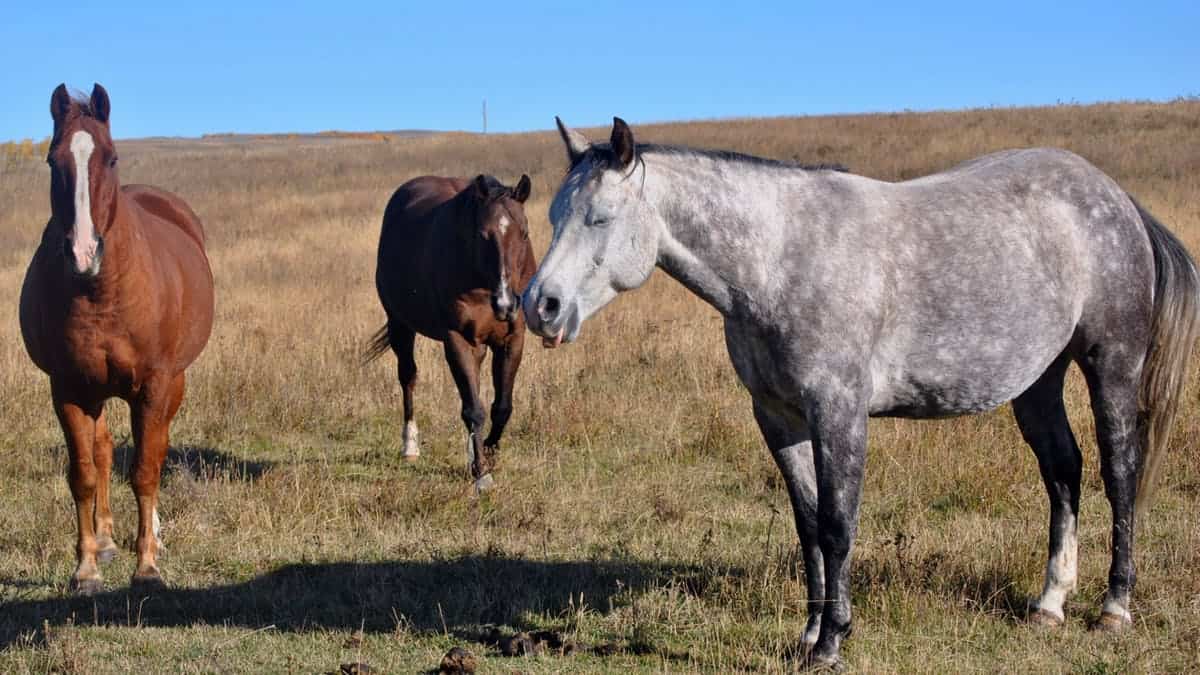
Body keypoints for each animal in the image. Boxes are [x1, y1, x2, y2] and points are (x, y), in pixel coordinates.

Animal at [18, 85, 213, 593]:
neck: (99, 292)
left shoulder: (155, 386)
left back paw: (153, 535)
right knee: (104, 451)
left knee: (156, 447)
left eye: (110, 158)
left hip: (171, 385)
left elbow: (145, 470)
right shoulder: (69, 389)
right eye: (53, 160)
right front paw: (86, 567)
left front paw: (147, 567)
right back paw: (106, 540)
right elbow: (84, 474)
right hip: (97, 391)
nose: (83, 251)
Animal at [364, 172, 535, 487]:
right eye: (482, 235)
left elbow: (501, 407)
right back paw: (410, 446)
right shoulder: (458, 341)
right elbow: (474, 409)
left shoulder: (512, 339)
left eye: (525, 234)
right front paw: (481, 473)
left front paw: (487, 454)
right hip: (400, 326)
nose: (506, 304)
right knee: (408, 378)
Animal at [523, 118, 1200, 662]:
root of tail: (1117, 199)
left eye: (601, 218)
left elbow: (837, 525)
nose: (539, 307)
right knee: (1063, 471)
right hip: (1038, 381)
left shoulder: (839, 413)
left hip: (1111, 365)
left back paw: (1113, 608)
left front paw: (832, 642)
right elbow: (807, 526)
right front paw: (808, 633)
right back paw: (1049, 603)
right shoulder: (779, 418)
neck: (780, 260)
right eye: (555, 216)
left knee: (1119, 473)